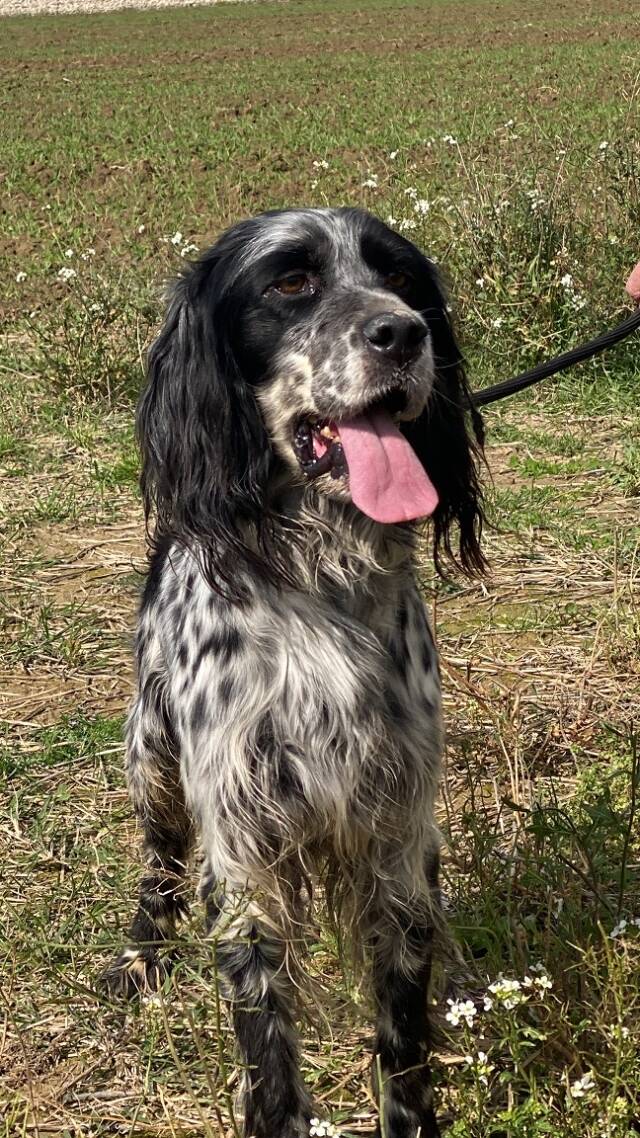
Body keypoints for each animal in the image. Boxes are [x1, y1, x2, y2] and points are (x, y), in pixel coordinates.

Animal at [104, 207, 485, 1138]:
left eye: (402, 279)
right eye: (289, 281)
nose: (404, 333)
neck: (322, 575)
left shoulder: (397, 833)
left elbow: (403, 1036)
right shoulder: (241, 850)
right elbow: (268, 1050)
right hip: (151, 755)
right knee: (158, 862)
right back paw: (140, 954)